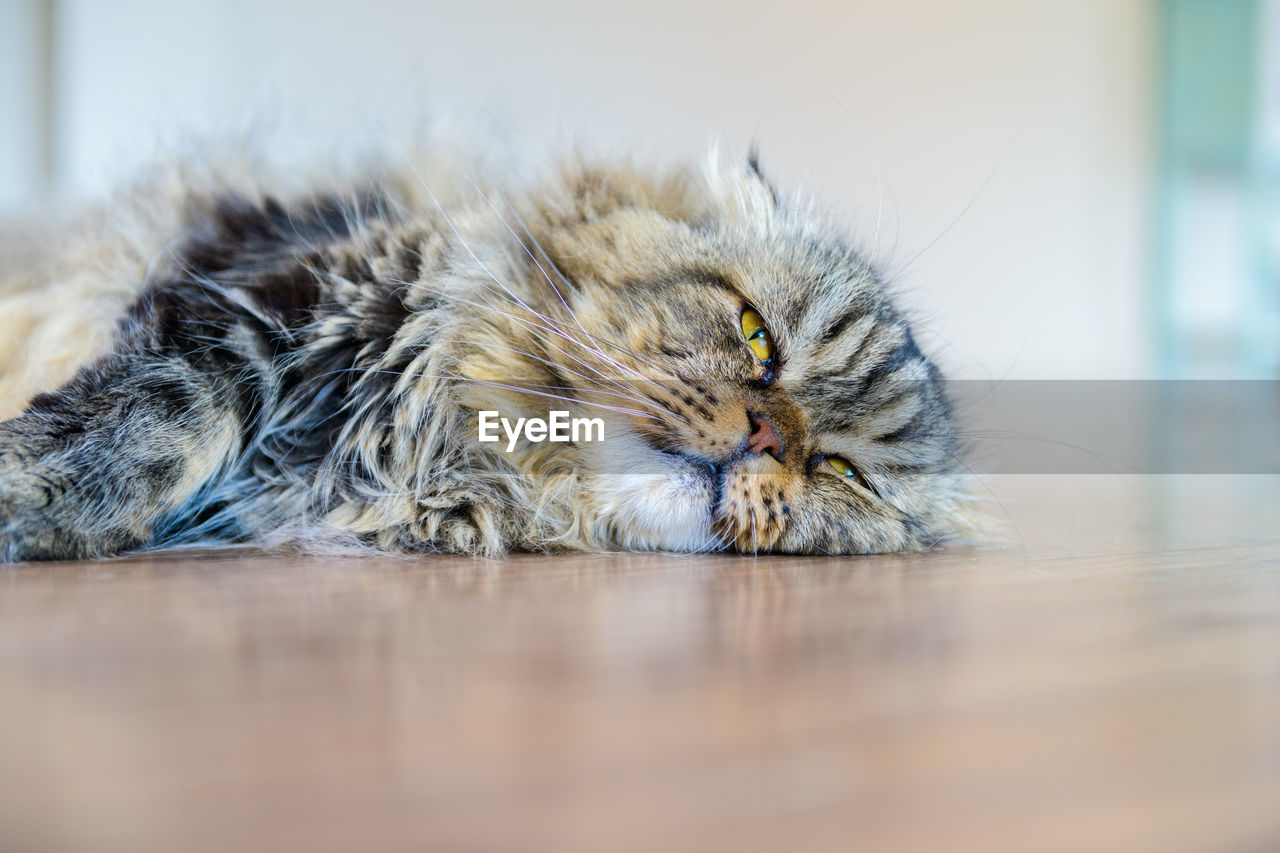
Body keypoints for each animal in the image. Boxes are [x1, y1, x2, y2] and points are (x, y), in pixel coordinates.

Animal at [0, 140, 972, 558]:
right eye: (756, 335)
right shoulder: (262, 294)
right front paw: (36, 496)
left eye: (840, 471)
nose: (766, 437)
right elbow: (159, 420)